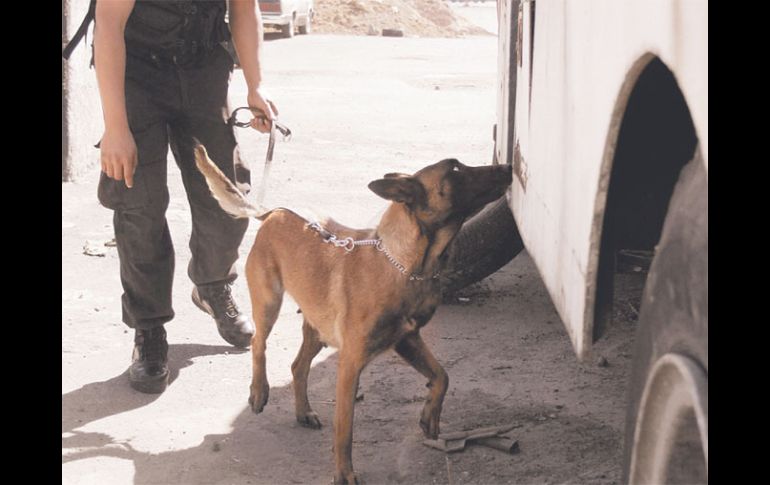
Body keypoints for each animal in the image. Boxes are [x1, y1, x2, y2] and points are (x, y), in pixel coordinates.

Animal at [192, 145, 510, 484]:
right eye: (455, 170)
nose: (508, 166)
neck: (405, 264)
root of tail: (274, 211)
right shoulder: (350, 364)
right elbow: (344, 429)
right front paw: (344, 473)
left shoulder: (408, 340)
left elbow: (442, 375)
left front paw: (429, 415)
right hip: (268, 304)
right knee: (258, 345)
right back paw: (258, 392)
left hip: (317, 329)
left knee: (298, 366)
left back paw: (303, 412)